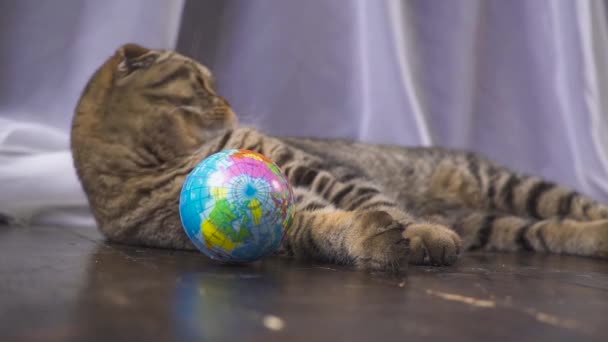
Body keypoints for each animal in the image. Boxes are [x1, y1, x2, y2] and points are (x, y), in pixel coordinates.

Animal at [72, 44, 608, 272]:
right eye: (201, 83)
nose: (229, 101)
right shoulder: (281, 223)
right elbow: (325, 229)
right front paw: (373, 238)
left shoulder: (318, 168)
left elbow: (376, 200)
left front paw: (419, 232)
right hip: (491, 223)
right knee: (544, 231)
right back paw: (593, 240)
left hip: (508, 184)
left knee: (579, 205)